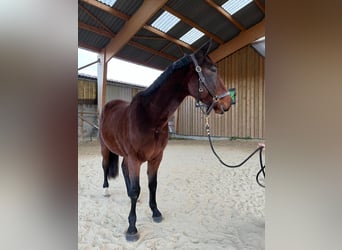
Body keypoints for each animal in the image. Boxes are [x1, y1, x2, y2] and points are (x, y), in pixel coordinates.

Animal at [97, 40, 234, 241]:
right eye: (213, 70)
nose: (227, 103)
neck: (150, 117)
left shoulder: (156, 158)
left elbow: (152, 185)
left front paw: (155, 212)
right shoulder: (135, 159)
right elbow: (136, 189)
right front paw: (132, 228)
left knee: (122, 168)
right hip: (105, 148)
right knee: (106, 166)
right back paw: (105, 190)